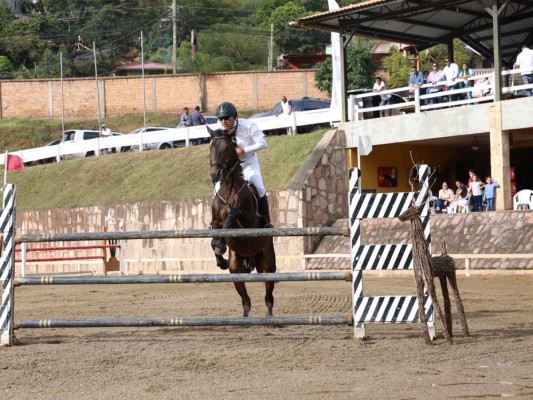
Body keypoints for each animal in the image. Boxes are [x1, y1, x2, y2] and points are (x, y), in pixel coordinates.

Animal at [207, 125, 276, 316]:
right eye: (210, 147)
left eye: (227, 148)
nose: (214, 174)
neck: (229, 188)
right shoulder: (215, 222)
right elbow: (214, 239)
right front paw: (220, 257)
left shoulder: (250, 221)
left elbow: (233, 213)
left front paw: (221, 246)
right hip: (236, 270)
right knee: (246, 301)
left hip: (268, 267)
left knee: (268, 298)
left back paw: (269, 318)